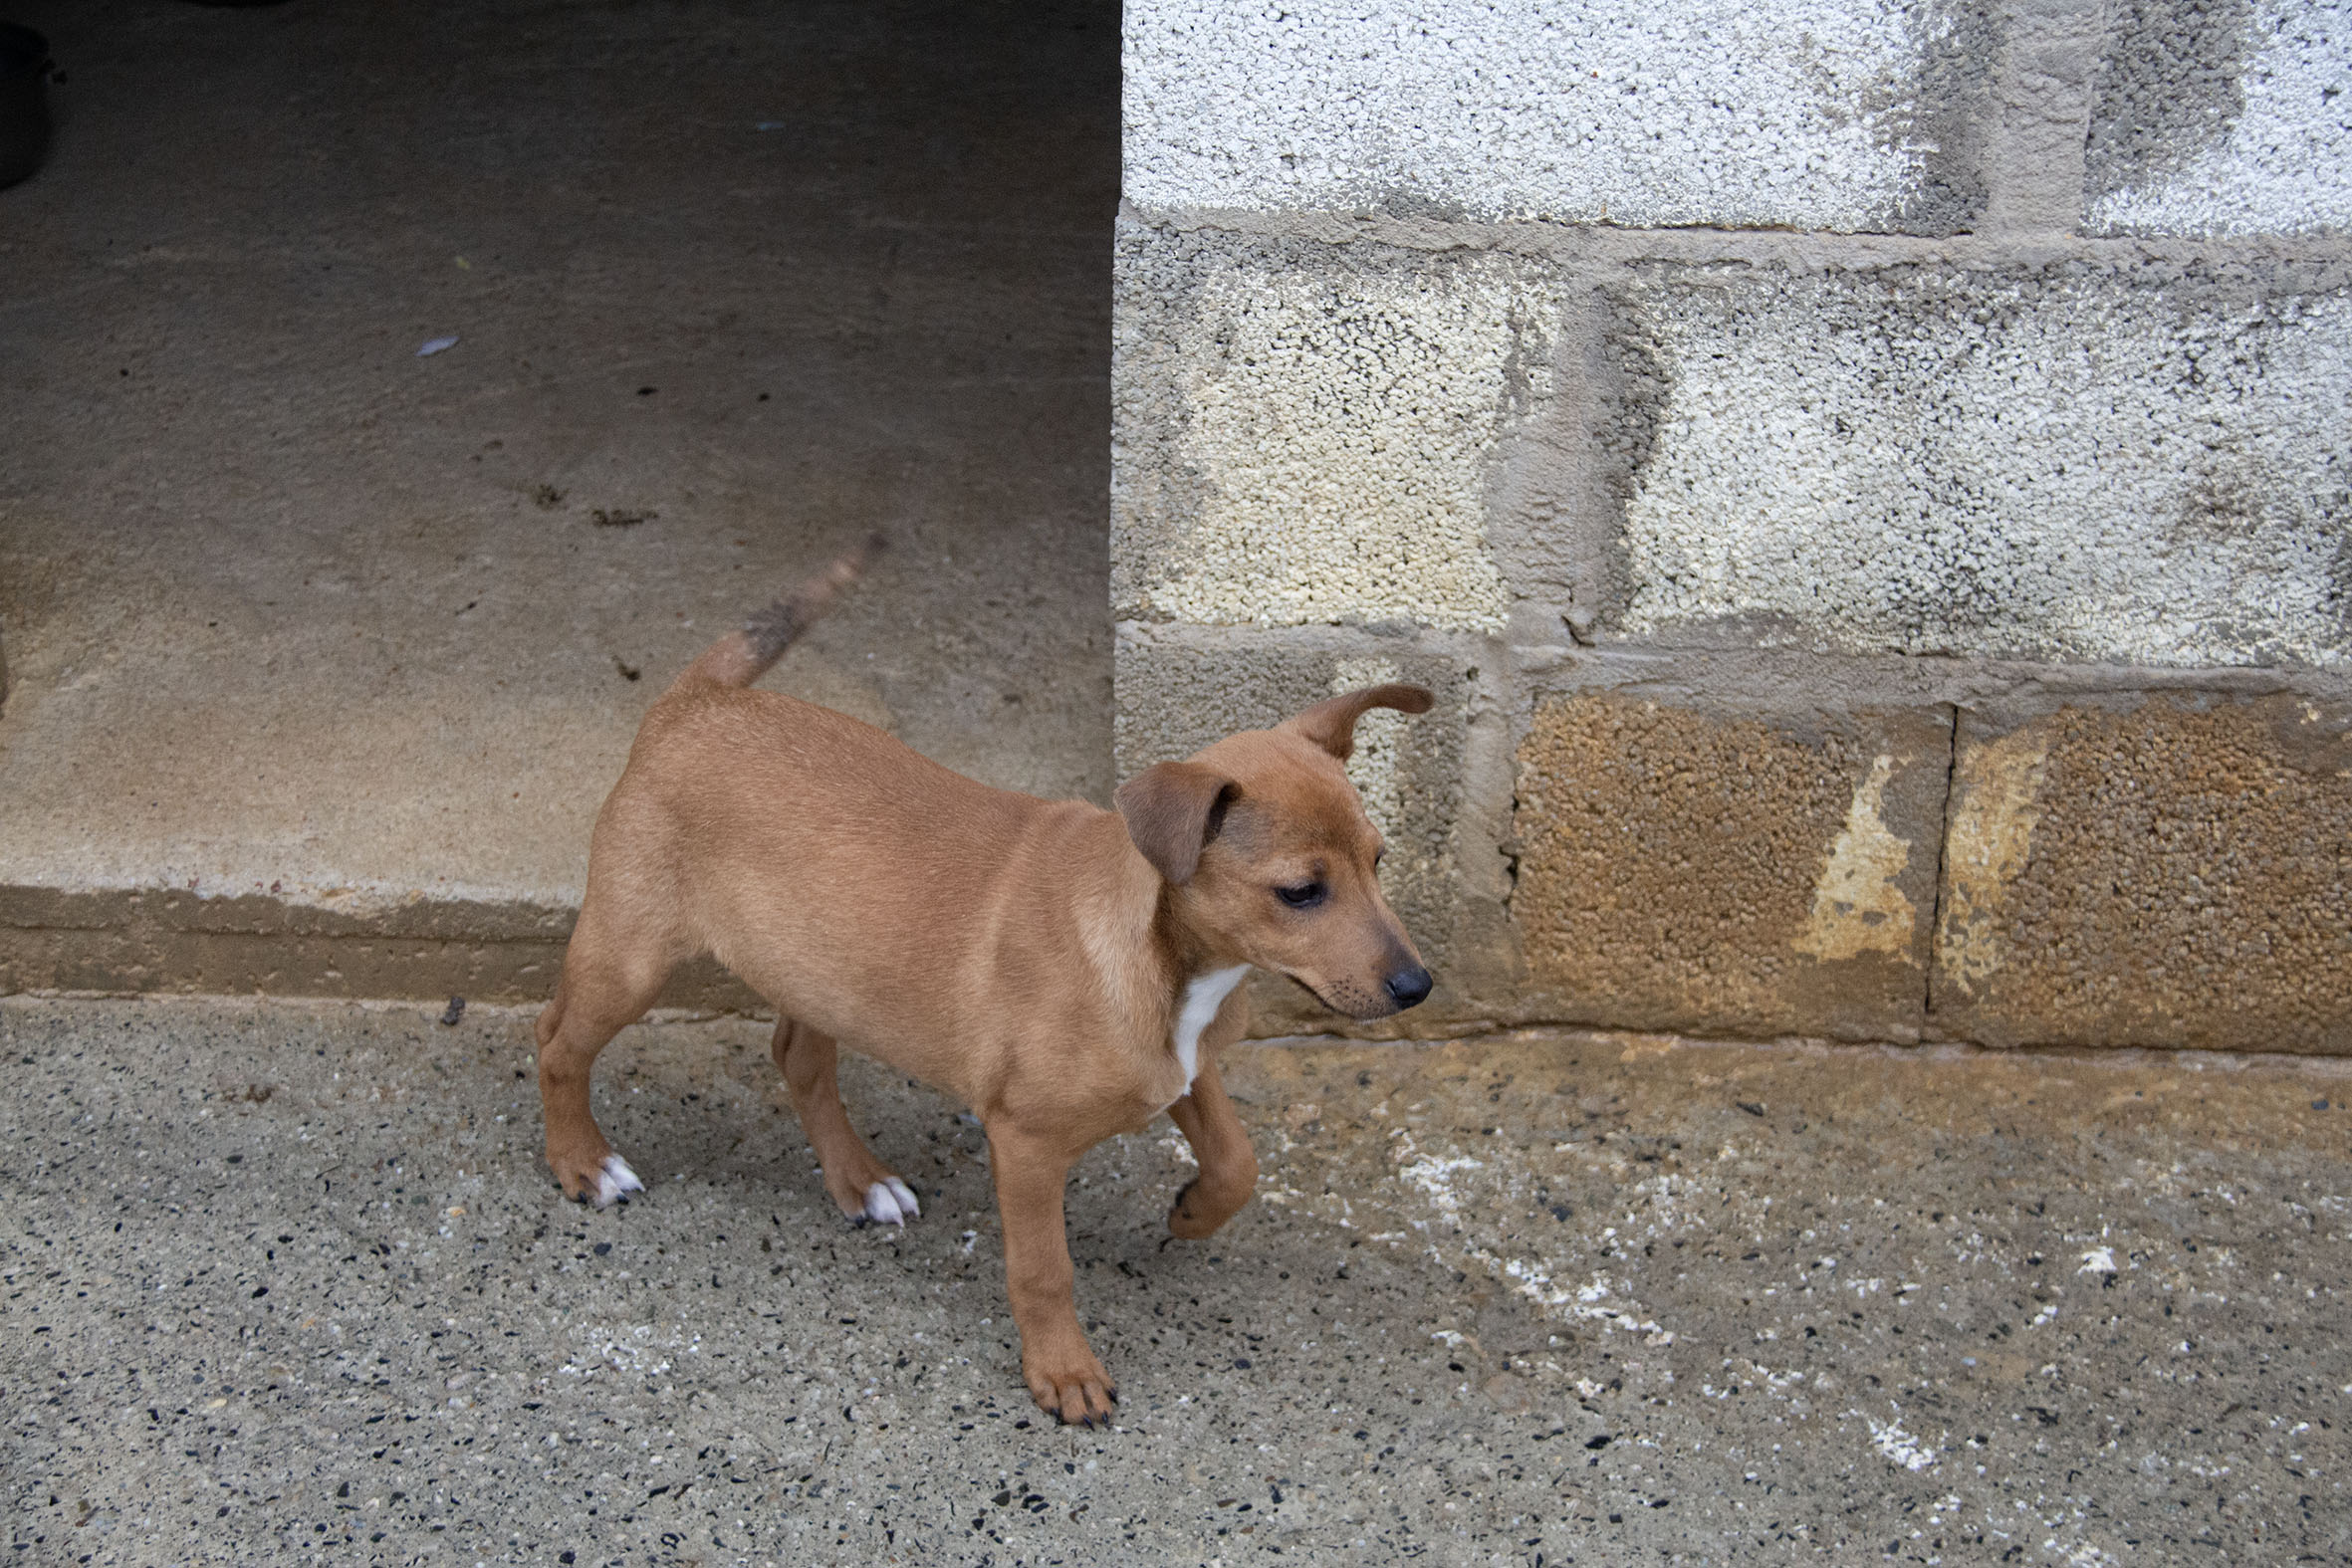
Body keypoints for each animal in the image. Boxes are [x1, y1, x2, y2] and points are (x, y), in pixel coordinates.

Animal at [535, 540, 1434, 1425]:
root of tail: (698, 699)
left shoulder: (1187, 1063)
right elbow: (1044, 1269)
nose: (1418, 986)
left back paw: (860, 1181)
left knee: (798, 1057)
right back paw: (584, 1163)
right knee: (556, 1042)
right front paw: (1064, 1373)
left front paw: (1190, 1212)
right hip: (631, 956)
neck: (1165, 959)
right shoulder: (1026, 1142)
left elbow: (1238, 1159)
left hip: (818, 965)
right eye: (1301, 891)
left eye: (1379, 860)